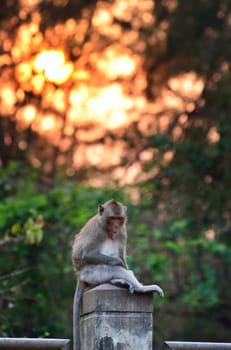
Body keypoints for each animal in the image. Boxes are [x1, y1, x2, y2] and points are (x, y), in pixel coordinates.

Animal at [71, 200, 163, 350]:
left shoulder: (122, 231)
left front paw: (123, 263)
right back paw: (139, 287)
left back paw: (119, 281)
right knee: (115, 269)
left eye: (118, 219)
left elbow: (121, 254)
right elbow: (88, 254)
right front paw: (119, 262)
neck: (107, 229)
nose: (115, 226)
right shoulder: (98, 231)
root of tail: (79, 275)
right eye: (112, 218)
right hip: (92, 272)